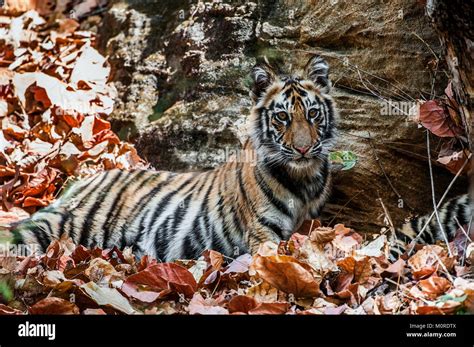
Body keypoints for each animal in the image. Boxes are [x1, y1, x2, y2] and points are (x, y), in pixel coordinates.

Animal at [10, 54, 470, 260]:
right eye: (282, 116)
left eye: (313, 114)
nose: (303, 147)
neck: (304, 178)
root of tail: (87, 176)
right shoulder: (263, 234)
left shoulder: (314, 220)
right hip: (65, 226)